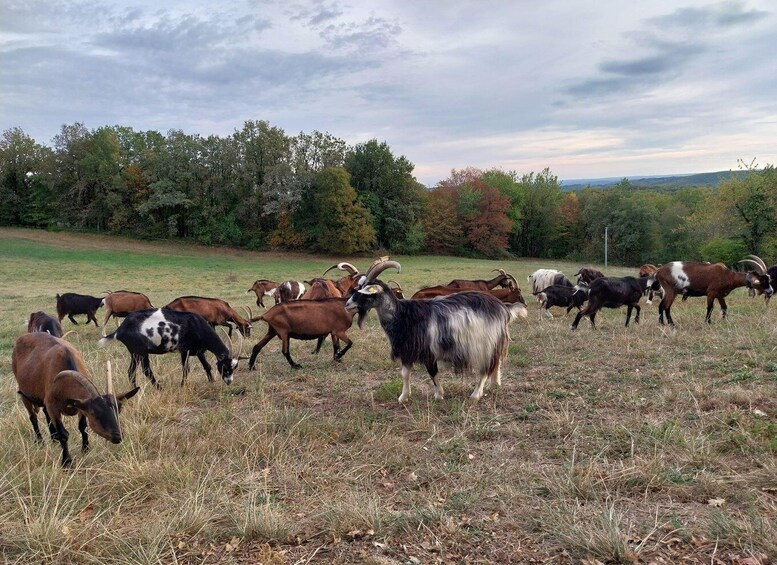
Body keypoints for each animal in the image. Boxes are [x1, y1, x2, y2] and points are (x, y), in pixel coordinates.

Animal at [12, 332, 138, 467]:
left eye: (119, 410)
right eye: (93, 412)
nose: (117, 436)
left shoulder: (80, 407)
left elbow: (82, 426)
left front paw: (85, 449)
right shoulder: (53, 405)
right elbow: (63, 434)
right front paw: (67, 462)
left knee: (45, 413)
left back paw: (53, 438)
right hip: (23, 393)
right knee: (33, 418)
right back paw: (40, 441)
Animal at [98, 308, 240, 387]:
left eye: (234, 367)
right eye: (225, 367)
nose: (229, 381)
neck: (197, 326)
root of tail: (120, 330)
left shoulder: (199, 351)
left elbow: (207, 366)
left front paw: (212, 382)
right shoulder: (184, 350)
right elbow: (186, 369)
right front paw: (182, 385)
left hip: (135, 353)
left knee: (131, 371)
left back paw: (135, 389)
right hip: (141, 352)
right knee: (146, 370)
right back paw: (159, 388)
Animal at [346, 260, 528, 403]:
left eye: (365, 292)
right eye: (357, 288)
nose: (347, 305)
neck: (403, 315)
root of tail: (503, 308)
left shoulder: (428, 350)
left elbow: (432, 372)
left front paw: (439, 394)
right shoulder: (407, 350)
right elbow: (405, 374)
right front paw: (403, 397)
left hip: (483, 344)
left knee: (484, 369)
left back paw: (476, 395)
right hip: (494, 342)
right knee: (496, 363)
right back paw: (494, 385)